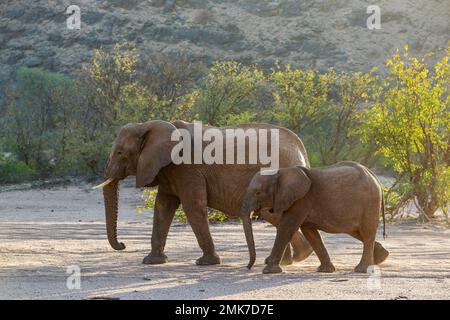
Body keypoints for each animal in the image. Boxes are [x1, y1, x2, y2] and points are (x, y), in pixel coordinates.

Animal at [95, 120, 312, 264]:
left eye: (120, 153)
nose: (123, 245)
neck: (149, 125)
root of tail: (301, 148)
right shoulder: (168, 170)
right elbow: (163, 207)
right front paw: (152, 261)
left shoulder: (187, 169)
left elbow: (193, 207)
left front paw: (207, 262)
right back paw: (291, 259)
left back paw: (296, 257)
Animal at [241, 161, 388, 274]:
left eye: (258, 193)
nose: (248, 267)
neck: (280, 172)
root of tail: (374, 176)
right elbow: (310, 232)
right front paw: (325, 270)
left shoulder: (302, 200)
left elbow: (287, 227)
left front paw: (269, 270)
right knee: (357, 232)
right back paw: (381, 257)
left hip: (370, 204)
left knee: (367, 233)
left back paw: (362, 270)